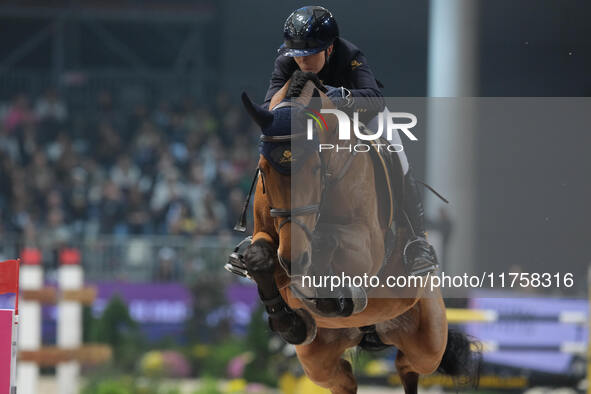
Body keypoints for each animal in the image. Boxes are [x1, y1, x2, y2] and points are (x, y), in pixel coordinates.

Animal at [234, 71, 478, 394]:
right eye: (263, 168)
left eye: (315, 168)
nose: (292, 259)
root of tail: (370, 333)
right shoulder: (270, 234)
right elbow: (259, 258)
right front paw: (290, 322)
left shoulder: (365, 248)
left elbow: (327, 241)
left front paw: (333, 294)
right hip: (318, 360)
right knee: (346, 380)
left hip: (428, 340)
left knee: (410, 365)